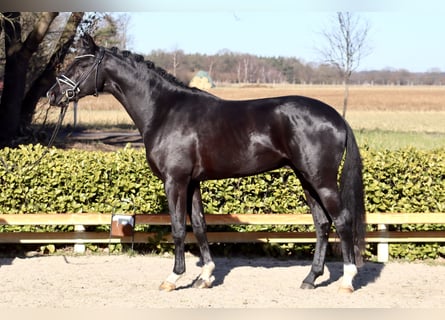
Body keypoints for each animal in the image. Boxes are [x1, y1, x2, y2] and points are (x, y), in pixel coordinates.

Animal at [48, 34, 364, 292]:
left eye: (80, 65)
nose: (52, 94)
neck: (165, 110)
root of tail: (336, 117)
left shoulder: (174, 181)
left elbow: (178, 227)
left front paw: (173, 278)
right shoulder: (193, 182)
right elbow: (199, 225)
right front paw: (206, 276)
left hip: (321, 180)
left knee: (342, 220)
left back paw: (347, 280)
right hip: (306, 178)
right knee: (322, 224)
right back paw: (311, 278)